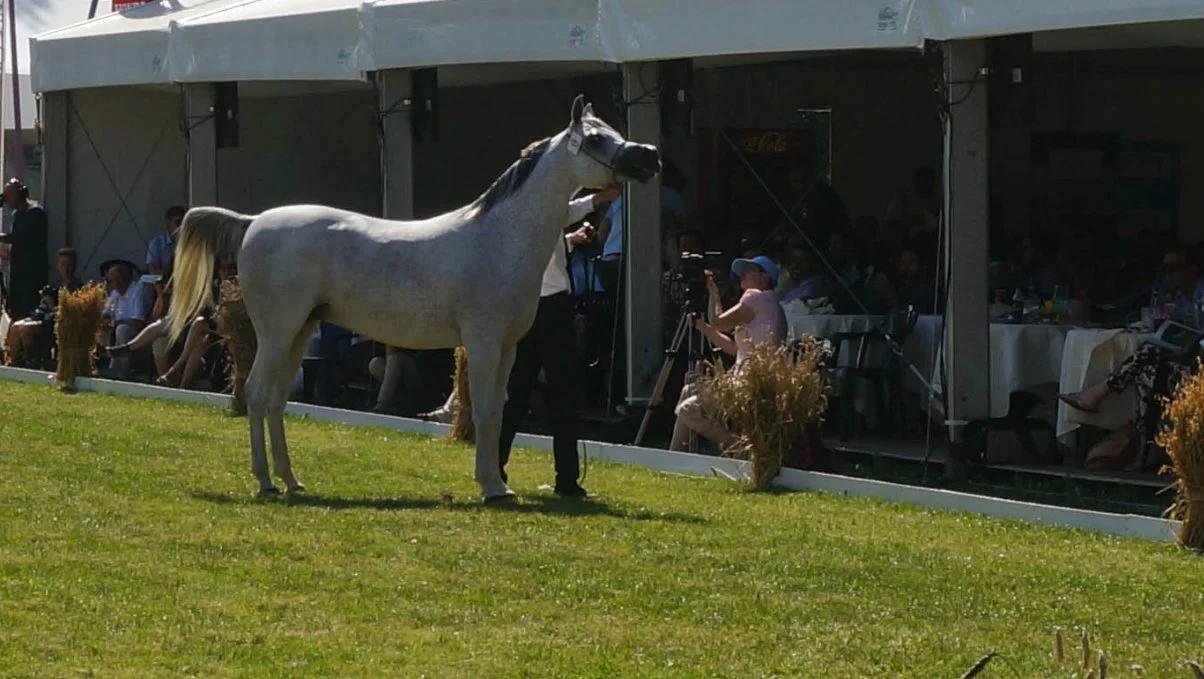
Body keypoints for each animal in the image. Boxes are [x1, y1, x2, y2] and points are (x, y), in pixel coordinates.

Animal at [167, 96, 659, 498]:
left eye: (612, 130)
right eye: (595, 138)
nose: (649, 157)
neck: (500, 237)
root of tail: (253, 222)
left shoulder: (508, 347)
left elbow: (499, 412)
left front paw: (497, 482)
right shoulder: (482, 342)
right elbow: (485, 412)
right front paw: (492, 488)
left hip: (300, 332)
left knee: (275, 400)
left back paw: (291, 479)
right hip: (276, 333)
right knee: (254, 392)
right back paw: (266, 481)